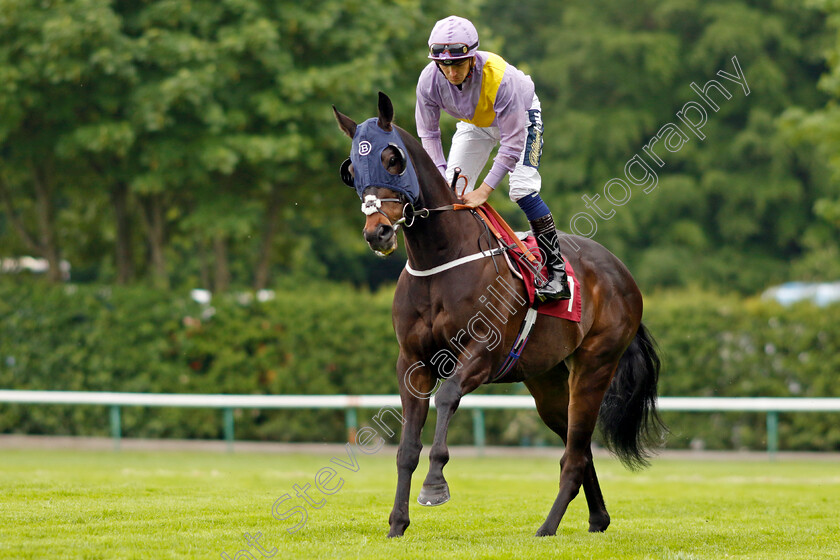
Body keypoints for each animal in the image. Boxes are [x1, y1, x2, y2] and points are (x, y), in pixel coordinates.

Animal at [332, 93, 668, 540]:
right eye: (351, 169)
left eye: (392, 159)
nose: (378, 232)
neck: (440, 259)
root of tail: (621, 272)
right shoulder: (412, 362)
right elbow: (406, 448)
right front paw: (397, 524)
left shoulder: (482, 354)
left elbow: (447, 396)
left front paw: (435, 486)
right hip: (547, 380)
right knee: (578, 448)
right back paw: (597, 518)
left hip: (595, 364)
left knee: (575, 454)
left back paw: (547, 527)